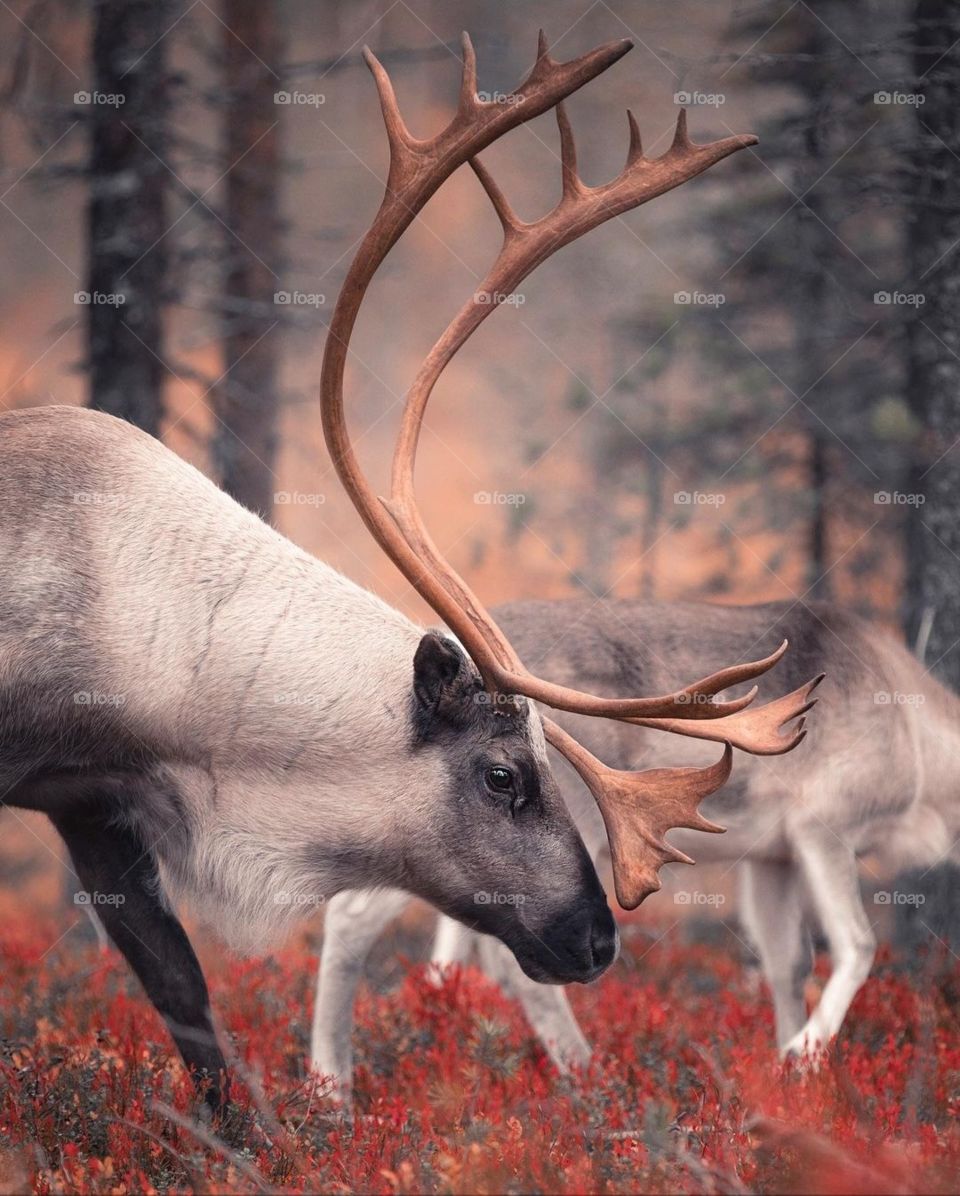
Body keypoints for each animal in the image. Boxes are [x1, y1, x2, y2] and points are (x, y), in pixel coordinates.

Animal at [312, 597, 947, 1115]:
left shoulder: (772, 857)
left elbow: (787, 964)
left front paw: (784, 1077)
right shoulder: (822, 824)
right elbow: (857, 945)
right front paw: (802, 1057)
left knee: (366, 919)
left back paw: (336, 1087)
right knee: (497, 960)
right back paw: (589, 1082)